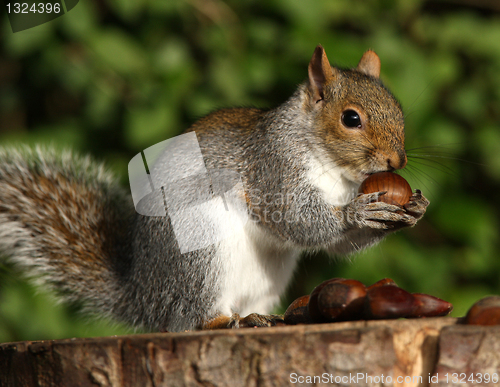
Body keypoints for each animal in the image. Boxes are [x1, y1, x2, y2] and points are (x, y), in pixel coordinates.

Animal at [0, 44, 430, 330]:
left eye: (398, 111)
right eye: (350, 118)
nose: (397, 162)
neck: (335, 170)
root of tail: (144, 299)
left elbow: (339, 245)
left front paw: (412, 210)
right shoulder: (271, 168)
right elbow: (295, 219)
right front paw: (358, 212)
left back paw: (264, 317)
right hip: (199, 255)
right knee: (193, 319)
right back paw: (226, 321)